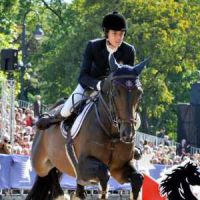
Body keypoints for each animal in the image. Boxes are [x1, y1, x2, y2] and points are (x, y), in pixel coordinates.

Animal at [25, 55, 149, 200]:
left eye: (139, 93)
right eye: (116, 92)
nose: (127, 134)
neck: (112, 133)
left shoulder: (119, 168)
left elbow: (137, 178)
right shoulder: (83, 166)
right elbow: (103, 174)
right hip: (40, 163)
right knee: (48, 174)